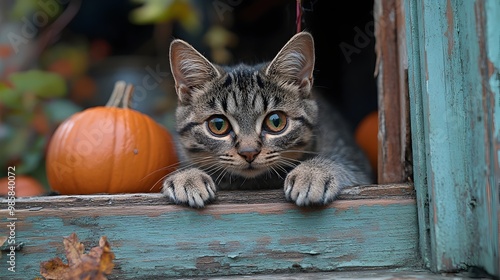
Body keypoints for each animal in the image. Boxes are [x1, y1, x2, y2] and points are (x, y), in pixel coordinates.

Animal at [162, 31, 374, 207]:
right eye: (218, 125)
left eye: (275, 122)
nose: (249, 152)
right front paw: (187, 177)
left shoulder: (358, 166)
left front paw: (313, 173)